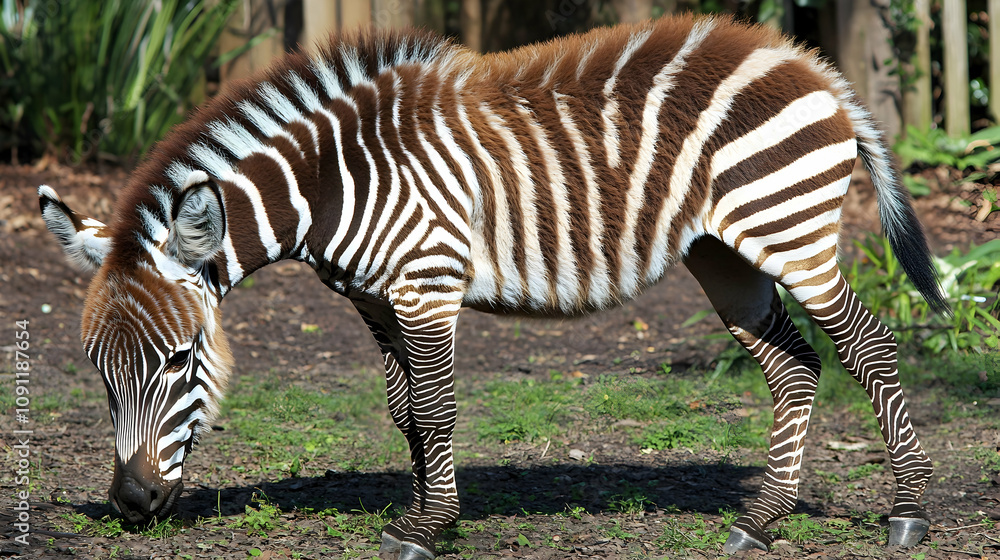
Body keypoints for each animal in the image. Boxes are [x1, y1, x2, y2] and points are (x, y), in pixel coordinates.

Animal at [39, 15, 947, 558]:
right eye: (98, 372)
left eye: (181, 359)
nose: (131, 504)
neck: (334, 181)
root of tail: (809, 63)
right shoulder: (373, 298)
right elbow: (406, 409)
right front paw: (419, 506)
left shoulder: (426, 283)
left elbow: (436, 406)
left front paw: (429, 527)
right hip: (726, 253)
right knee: (793, 364)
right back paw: (761, 520)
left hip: (789, 231)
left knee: (869, 345)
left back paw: (907, 512)